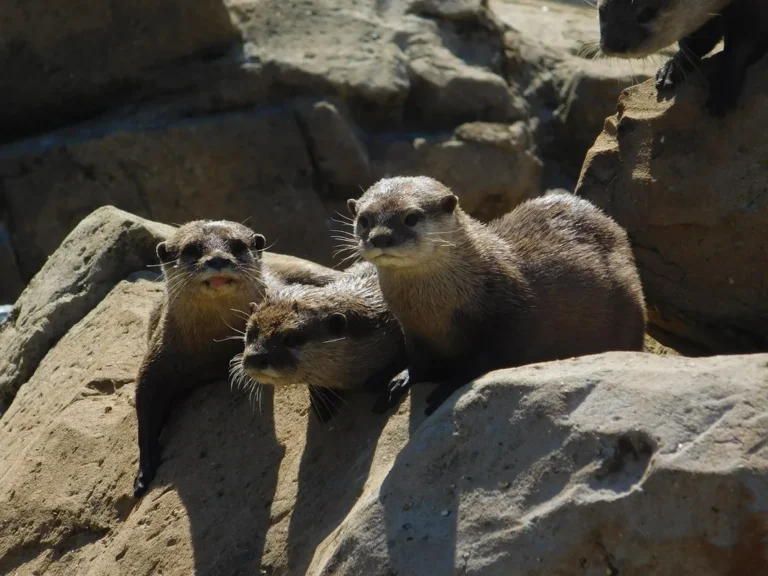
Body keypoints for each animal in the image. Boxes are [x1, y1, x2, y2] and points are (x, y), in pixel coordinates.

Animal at [133, 220, 338, 498]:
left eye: (237, 245)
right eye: (192, 249)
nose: (218, 259)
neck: (215, 346)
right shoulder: (158, 358)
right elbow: (144, 406)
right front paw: (143, 474)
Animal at [348, 177, 647, 415]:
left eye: (411, 217)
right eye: (364, 219)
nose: (380, 238)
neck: (433, 312)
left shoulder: (503, 319)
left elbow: (485, 360)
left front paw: (448, 386)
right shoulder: (413, 331)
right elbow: (418, 363)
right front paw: (401, 380)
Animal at [597, 0, 768, 115]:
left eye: (646, 13)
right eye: (602, 11)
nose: (613, 44)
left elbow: (746, 41)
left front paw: (723, 85)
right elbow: (699, 38)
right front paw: (670, 69)